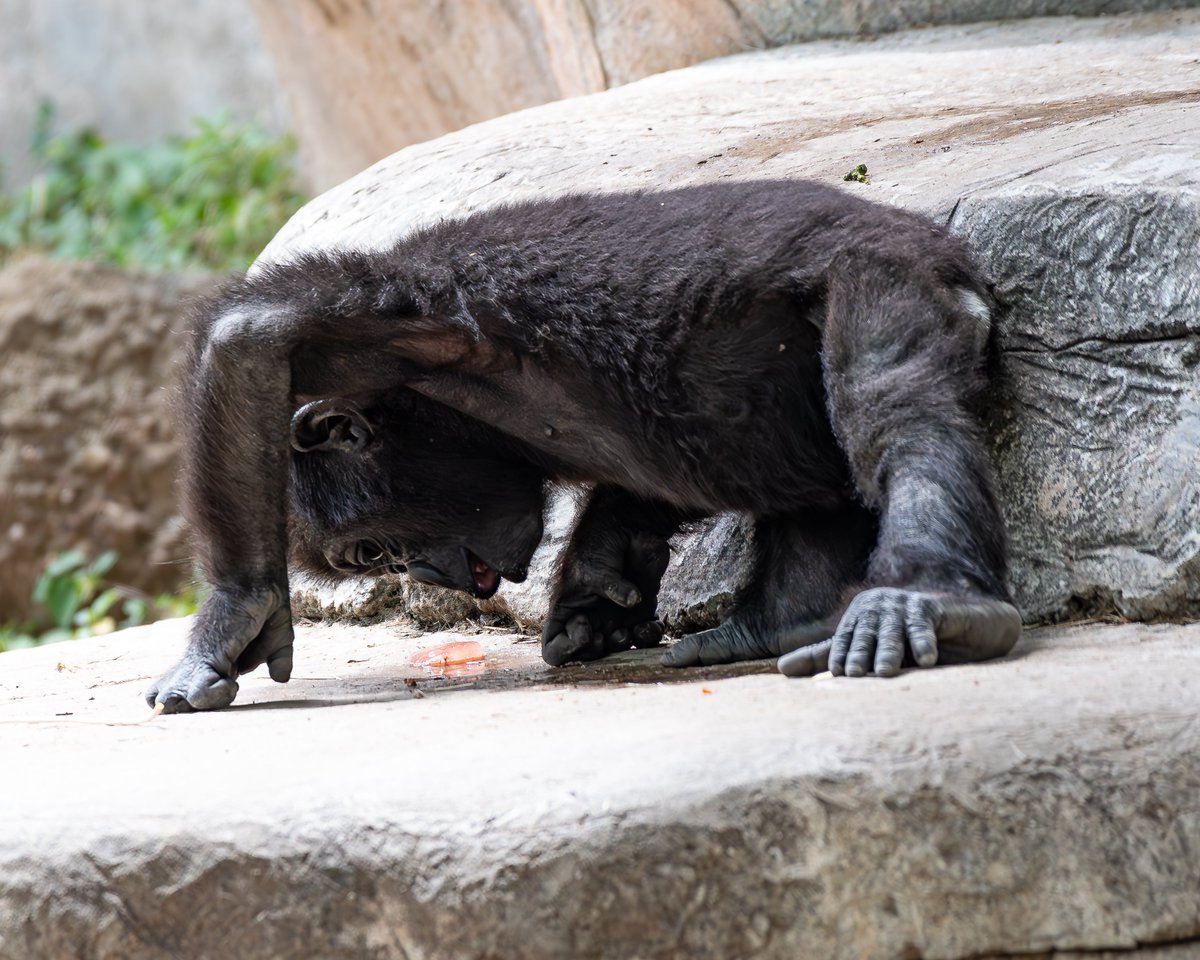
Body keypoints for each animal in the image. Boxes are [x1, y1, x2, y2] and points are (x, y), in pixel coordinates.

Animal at [146, 179, 1022, 712]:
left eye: (371, 551)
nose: (423, 573)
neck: (454, 418)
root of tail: (955, 261)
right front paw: (600, 586)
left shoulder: (423, 320)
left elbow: (255, 338)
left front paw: (234, 618)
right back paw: (777, 621)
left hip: (880, 271)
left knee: (893, 409)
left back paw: (931, 601)